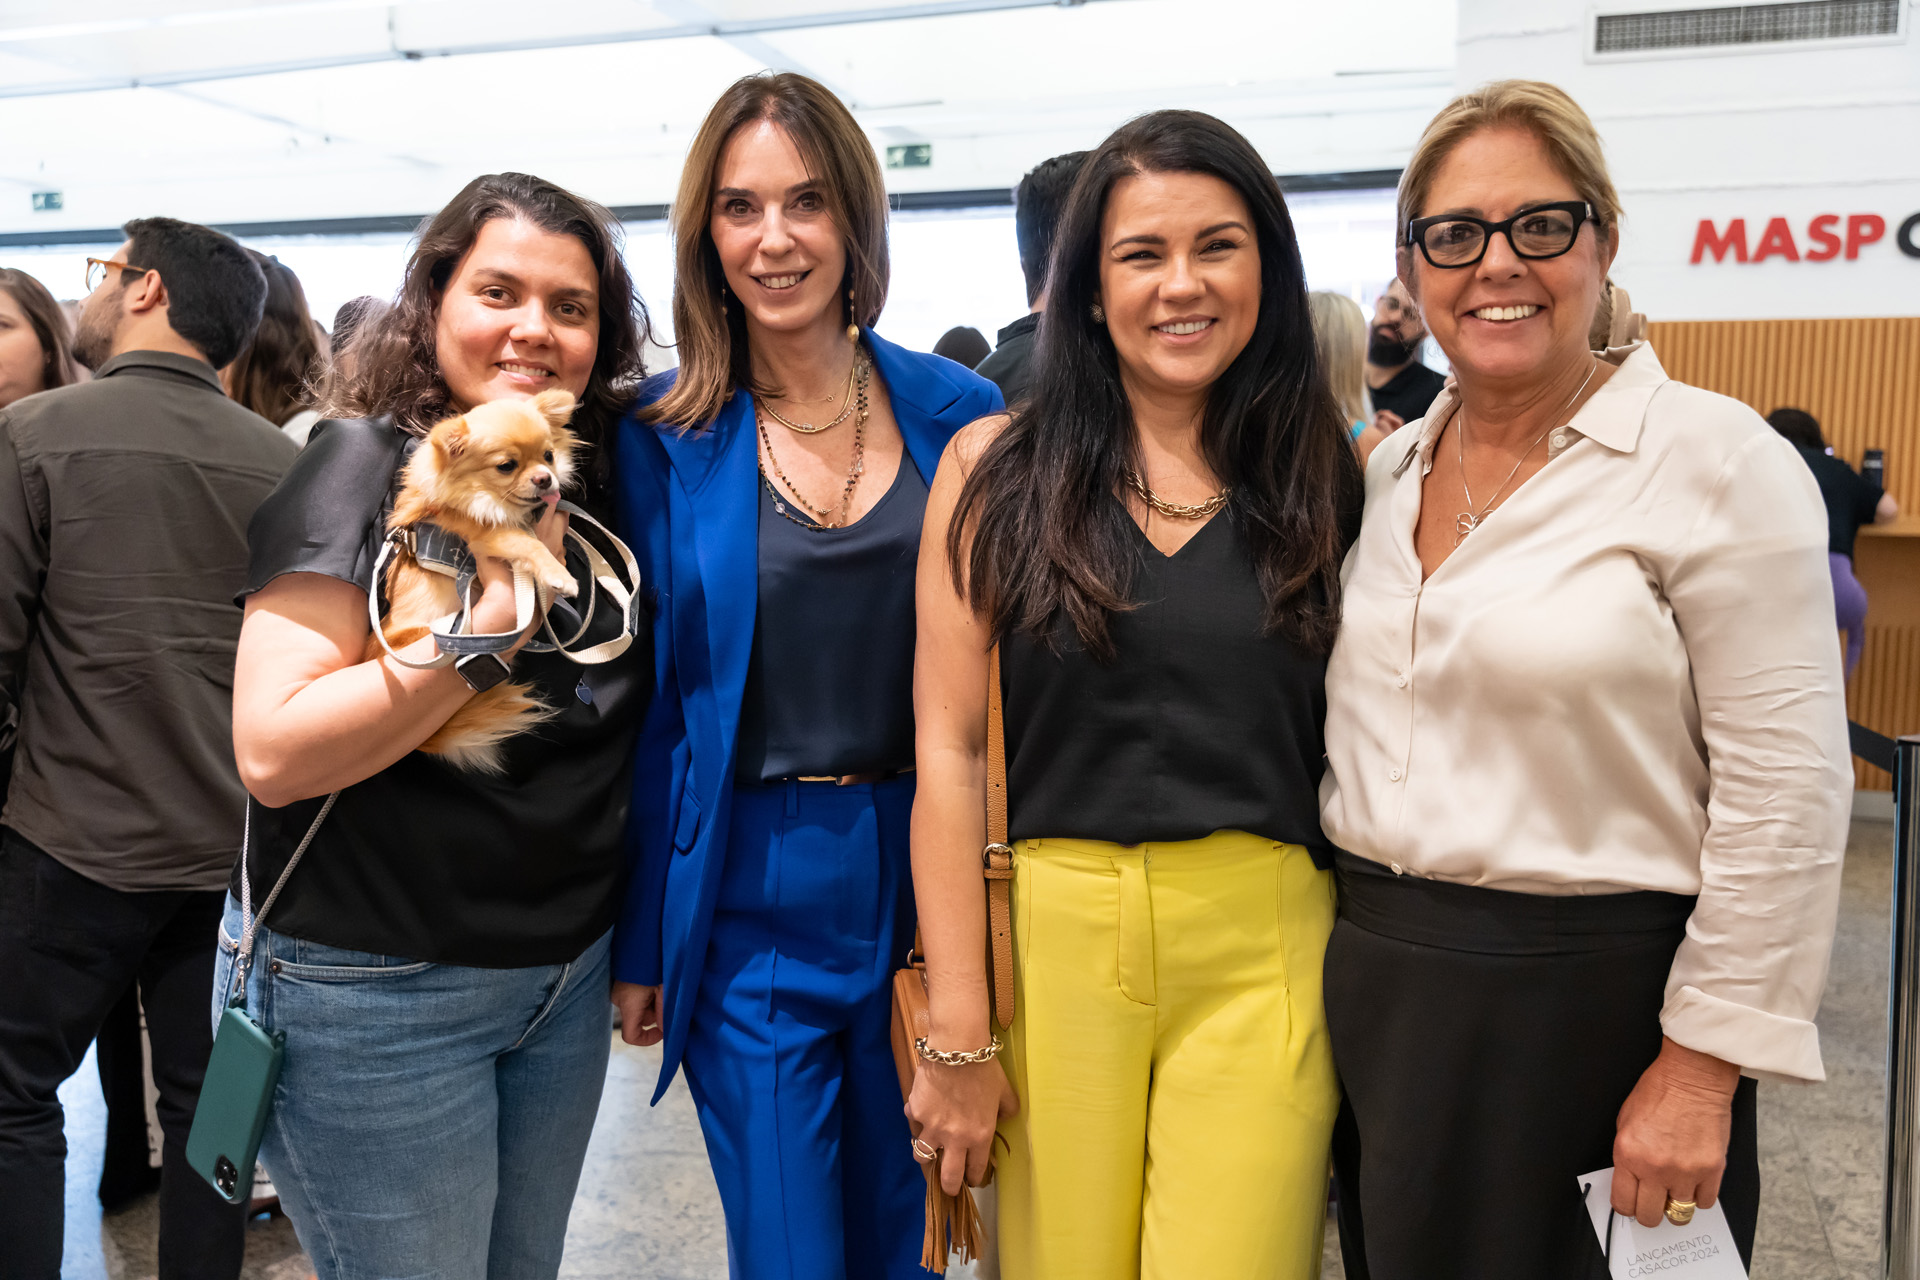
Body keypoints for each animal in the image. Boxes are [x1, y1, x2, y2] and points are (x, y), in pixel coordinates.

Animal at [370, 385, 579, 775]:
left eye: (548, 455)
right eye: (506, 465)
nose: (545, 477)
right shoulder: (486, 537)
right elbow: (528, 543)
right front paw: (560, 576)